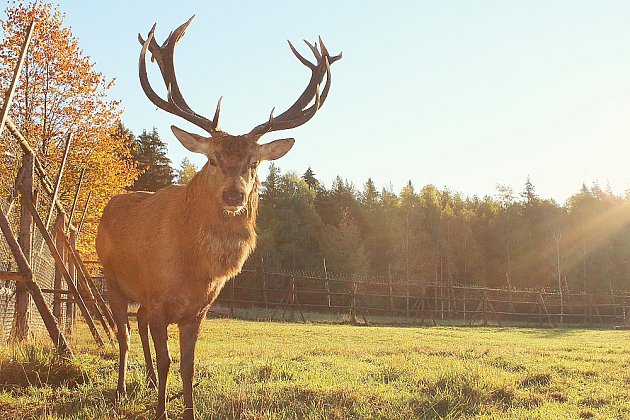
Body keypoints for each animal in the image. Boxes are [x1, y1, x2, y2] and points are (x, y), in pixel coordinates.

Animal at [95, 16, 340, 420]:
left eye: (253, 163)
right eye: (212, 159)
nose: (233, 194)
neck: (194, 269)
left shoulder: (199, 309)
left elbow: (188, 366)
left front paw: (187, 409)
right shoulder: (159, 299)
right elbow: (168, 361)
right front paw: (161, 412)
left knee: (138, 325)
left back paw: (147, 381)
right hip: (111, 279)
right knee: (125, 335)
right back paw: (120, 389)